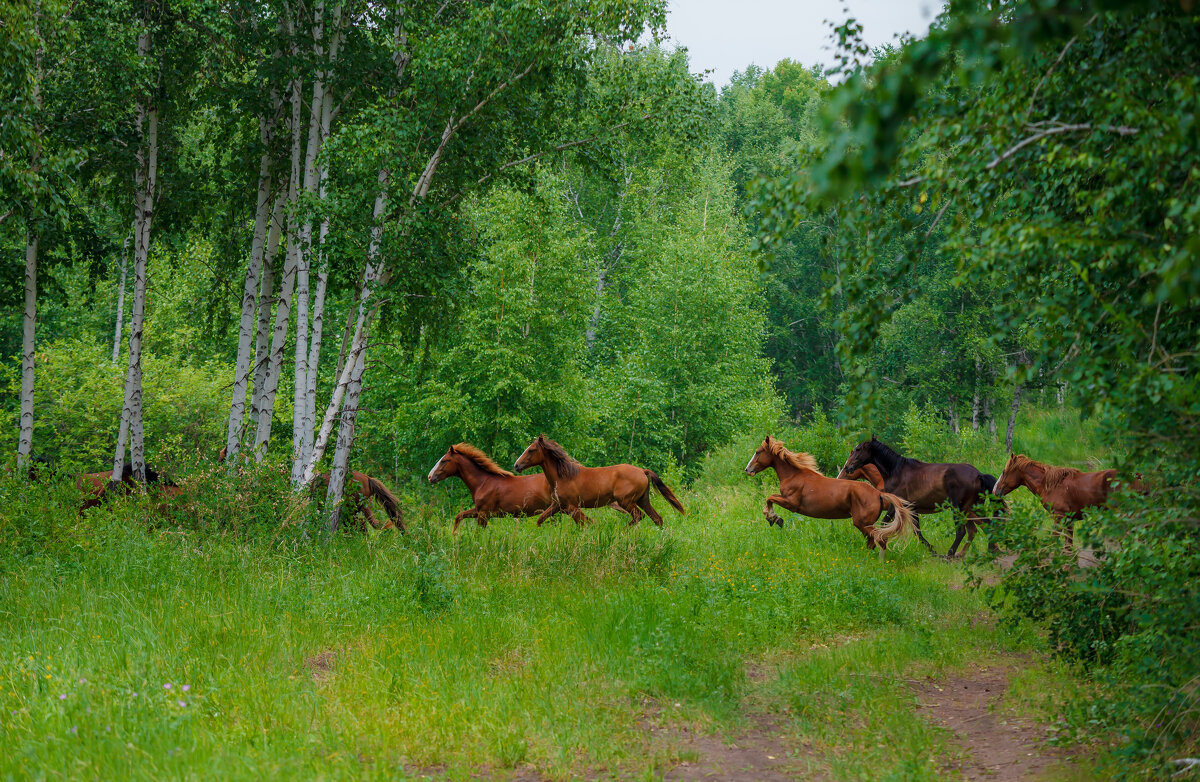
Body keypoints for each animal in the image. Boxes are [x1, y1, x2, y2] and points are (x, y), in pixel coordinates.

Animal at [513, 434, 686, 525]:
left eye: (531, 450)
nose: (516, 465)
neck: (563, 476)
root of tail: (643, 471)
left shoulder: (572, 507)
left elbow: (585, 523)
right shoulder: (558, 505)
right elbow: (540, 520)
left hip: (626, 501)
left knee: (638, 516)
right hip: (642, 500)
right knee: (657, 518)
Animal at [739, 434, 907, 549]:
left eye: (758, 452)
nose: (748, 469)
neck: (794, 475)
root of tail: (878, 493)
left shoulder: (791, 503)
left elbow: (770, 497)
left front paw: (774, 518)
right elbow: (769, 499)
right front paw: (774, 518)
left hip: (862, 523)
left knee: (879, 539)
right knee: (875, 540)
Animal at [835, 436, 1003, 558]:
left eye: (858, 449)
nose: (847, 468)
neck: (895, 471)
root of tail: (978, 474)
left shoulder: (896, 506)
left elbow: (885, 524)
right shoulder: (912, 507)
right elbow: (917, 531)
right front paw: (932, 551)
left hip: (959, 508)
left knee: (962, 531)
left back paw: (949, 555)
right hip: (973, 507)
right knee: (985, 525)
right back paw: (990, 550)